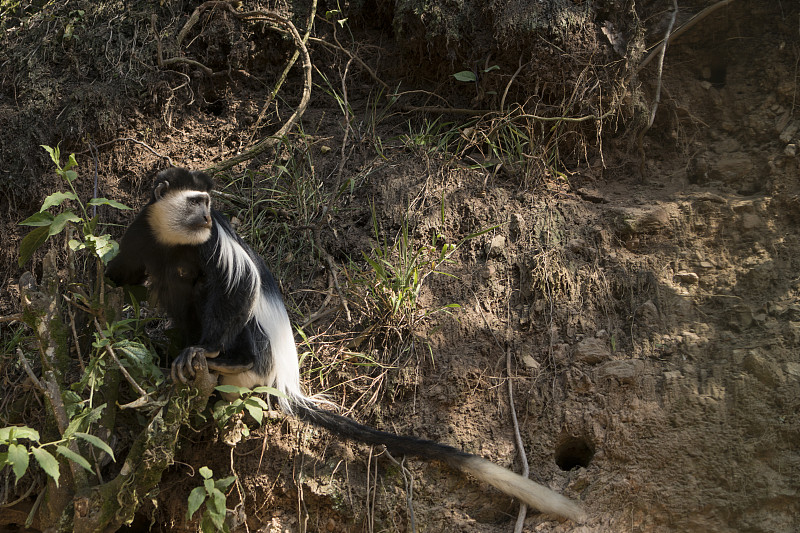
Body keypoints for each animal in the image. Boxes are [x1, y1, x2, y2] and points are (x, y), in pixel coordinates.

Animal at [106, 167, 584, 520]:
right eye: (195, 201)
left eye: (209, 204)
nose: (205, 217)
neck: (175, 237)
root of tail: (285, 382)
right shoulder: (141, 231)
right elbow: (121, 276)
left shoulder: (216, 241)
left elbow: (237, 288)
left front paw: (202, 351)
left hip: (259, 356)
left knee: (218, 296)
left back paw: (228, 359)